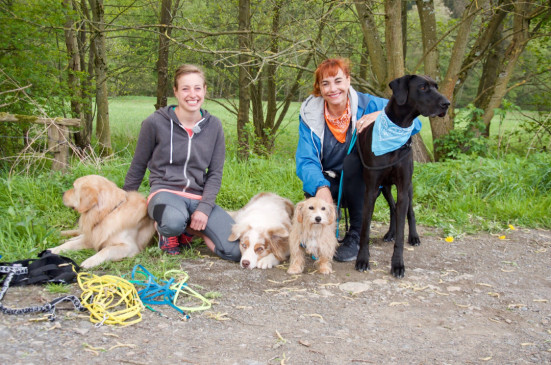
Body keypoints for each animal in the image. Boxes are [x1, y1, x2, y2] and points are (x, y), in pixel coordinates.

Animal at [356, 75, 450, 278]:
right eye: (422, 87)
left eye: (436, 86)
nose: (447, 103)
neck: (397, 128)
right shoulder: (371, 189)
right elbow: (365, 229)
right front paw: (362, 259)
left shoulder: (403, 186)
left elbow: (402, 228)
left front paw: (398, 264)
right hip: (385, 187)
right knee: (393, 208)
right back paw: (390, 234)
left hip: (408, 188)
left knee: (409, 212)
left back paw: (413, 237)